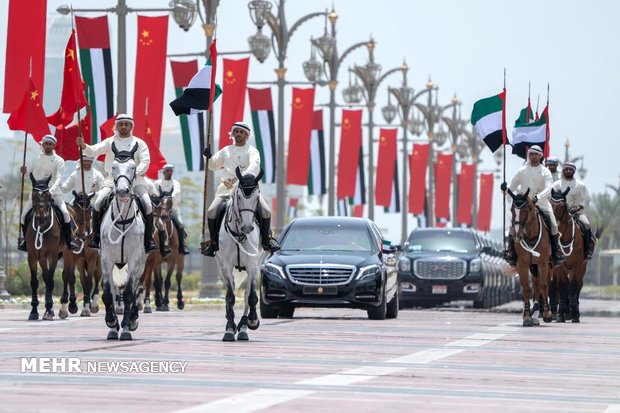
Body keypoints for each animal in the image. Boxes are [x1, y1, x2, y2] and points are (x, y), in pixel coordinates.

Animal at [25, 173, 63, 318]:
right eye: (34, 194)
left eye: (48, 195)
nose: (41, 218)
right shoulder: (32, 256)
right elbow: (34, 282)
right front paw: (34, 310)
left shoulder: (52, 255)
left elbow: (51, 280)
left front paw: (48, 310)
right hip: (41, 257)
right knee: (45, 277)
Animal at [103, 153, 150, 340]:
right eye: (114, 167)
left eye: (133, 167)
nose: (122, 191)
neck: (122, 220)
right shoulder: (106, 259)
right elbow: (108, 293)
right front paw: (111, 324)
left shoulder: (135, 259)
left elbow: (130, 293)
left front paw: (125, 329)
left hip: (141, 264)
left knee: (137, 288)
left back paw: (133, 319)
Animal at [216, 166, 264, 340]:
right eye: (239, 197)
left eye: (257, 197)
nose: (247, 228)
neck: (238, 234)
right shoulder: (226, 266)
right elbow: (230, 297)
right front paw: (230, 329)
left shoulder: (252, 265)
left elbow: (251, 296)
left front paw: (252, 321)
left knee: (247, 293)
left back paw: (244, 326)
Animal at [512, 188, 556, 326]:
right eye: (511, 209)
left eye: (525, 209)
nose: (517, 235)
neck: (531, 236)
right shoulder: (522, 264)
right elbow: (526, 288)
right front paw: (527, 317)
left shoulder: (543, 263)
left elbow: (544, 286)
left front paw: (547, 314)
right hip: (532, 266)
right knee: (534, 285)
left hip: (545, 265)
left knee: (541, 285)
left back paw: (538, 316)